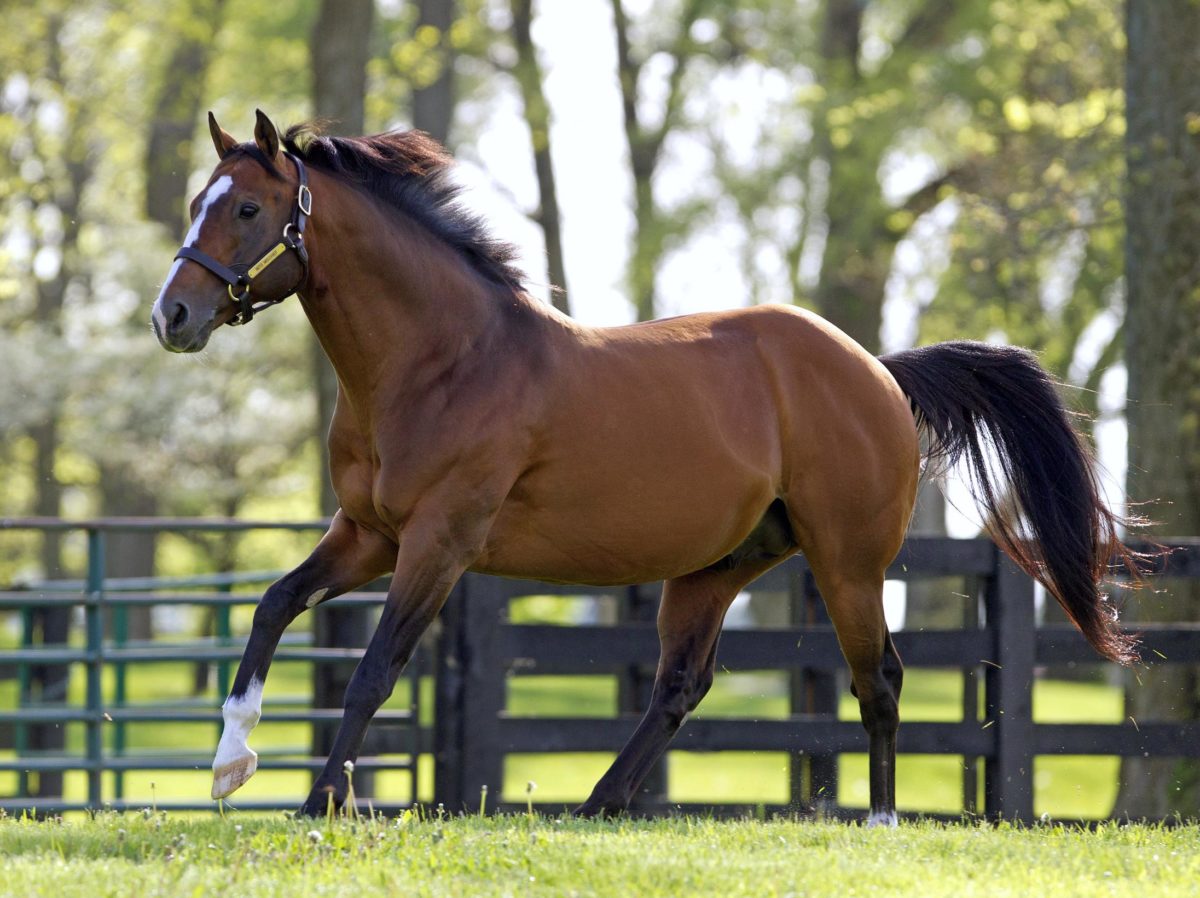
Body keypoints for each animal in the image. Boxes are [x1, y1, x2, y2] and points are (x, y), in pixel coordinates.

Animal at [154, 112, 1137, 825]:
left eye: (247, 210)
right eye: (198, 199)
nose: (172, 316)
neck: (444, 360)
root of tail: (879, 371)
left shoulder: (438, 541)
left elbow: (373, 670)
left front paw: (320, 803)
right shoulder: (367, 535)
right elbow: (273, 605)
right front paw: (232, 764)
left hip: (849, 563)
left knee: (879, 679)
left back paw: (881, 821)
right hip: (714, 567)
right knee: (679, 687)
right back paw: (597, 804)